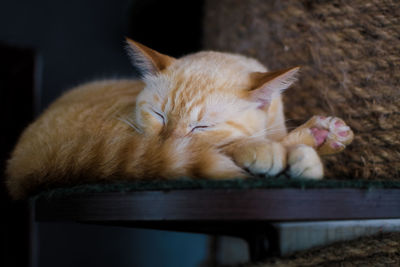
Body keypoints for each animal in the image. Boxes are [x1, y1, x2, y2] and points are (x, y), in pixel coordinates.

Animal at [4, 38, 352, 200]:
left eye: (202, 126)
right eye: (159, 116)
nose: (168, 142)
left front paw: (315, 144)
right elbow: (235, 145)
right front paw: (282, 149)